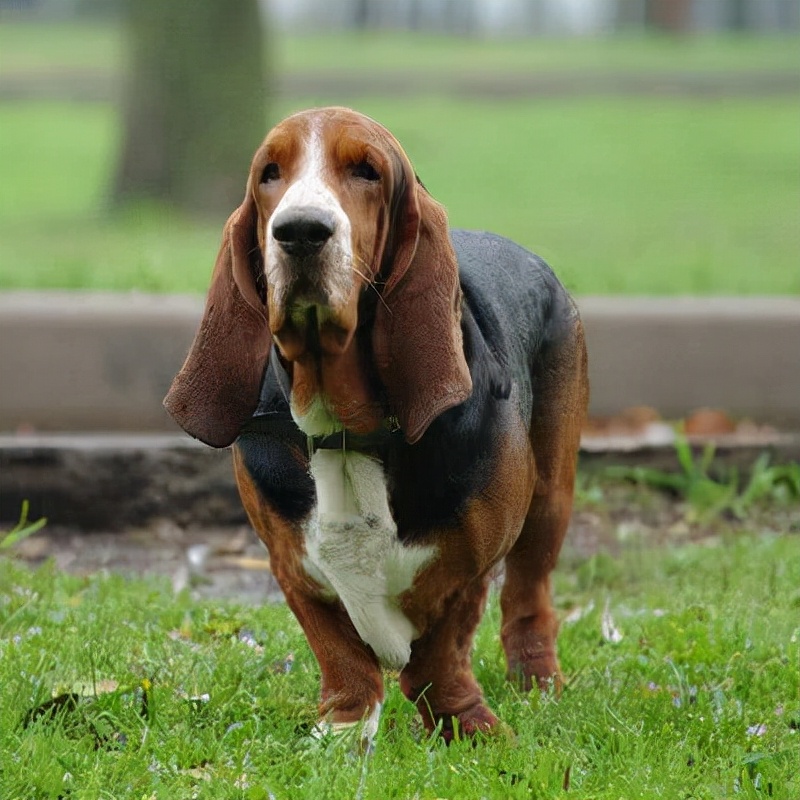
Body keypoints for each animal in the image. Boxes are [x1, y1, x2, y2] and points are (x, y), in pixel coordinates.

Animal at [164, 106, 588, 744]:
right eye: (269, 173)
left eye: (366, 171)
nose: (300, 231)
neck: (346, 430)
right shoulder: (289, 565)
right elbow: (341, 655)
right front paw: (343, 733)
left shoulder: (471, 567)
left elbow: (442, 653)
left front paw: (470, 728)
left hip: (549, 499)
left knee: (529, 599)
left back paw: (538, 685)